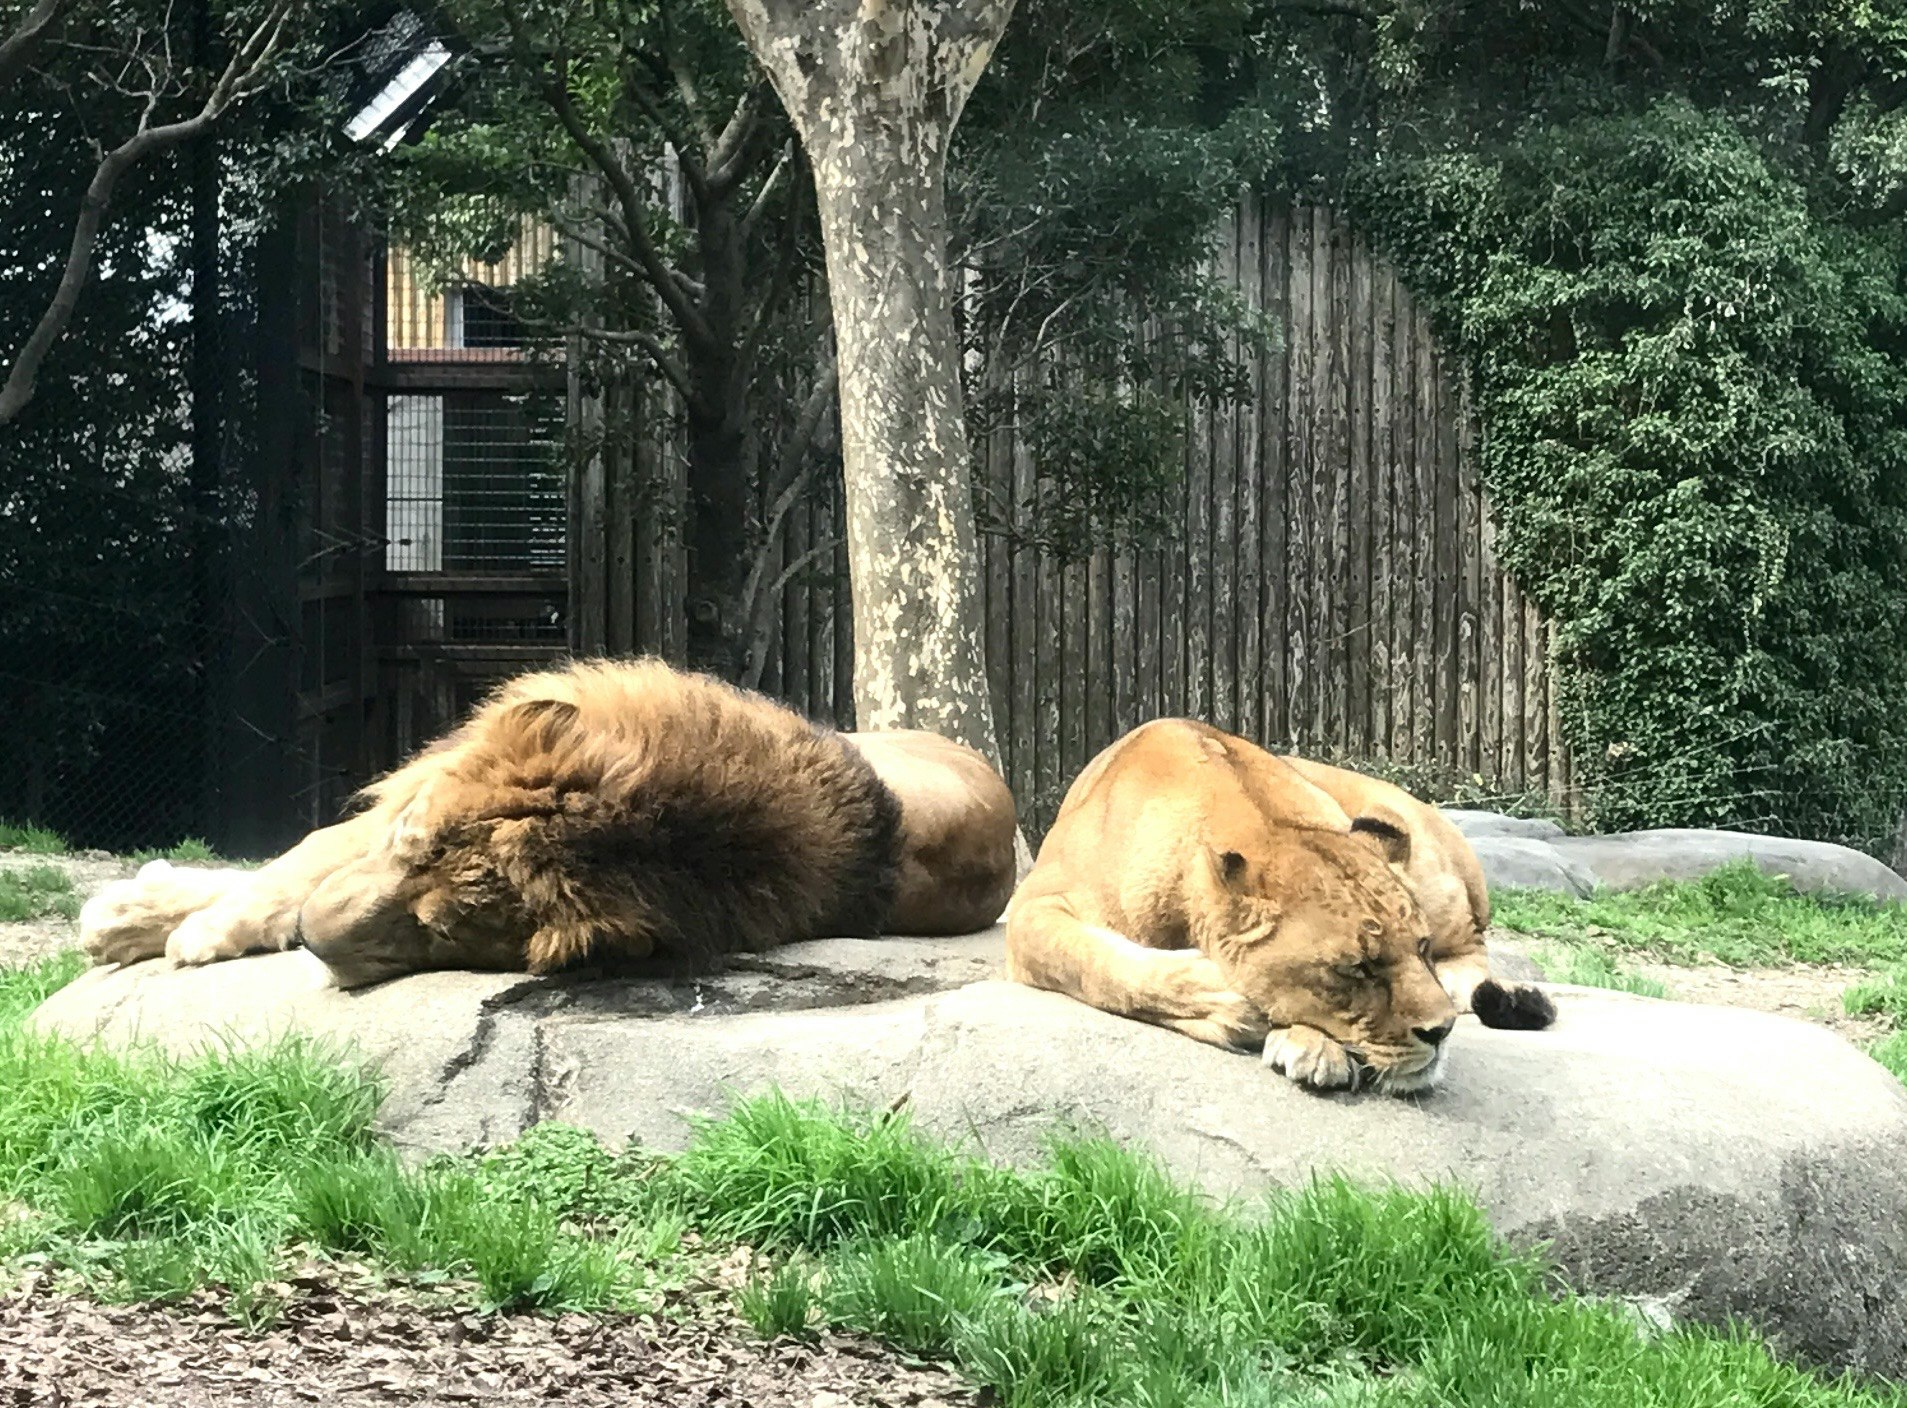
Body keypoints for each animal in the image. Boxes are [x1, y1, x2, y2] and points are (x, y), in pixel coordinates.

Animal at [81, 658, 1019, 989]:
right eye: (409, 843)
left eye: (443, 934)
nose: (315, 942)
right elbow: (291, 864)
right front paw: (135, 916)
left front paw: (183, 932)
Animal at [1005, 719, 1553, 1094]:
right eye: (1355, 969)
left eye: (1419, 947)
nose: (1440, 1033)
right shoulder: (1032, 905)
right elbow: (1098, 965)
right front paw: (1231, 1004)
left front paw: (1303, 1041)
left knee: (1473, 953)